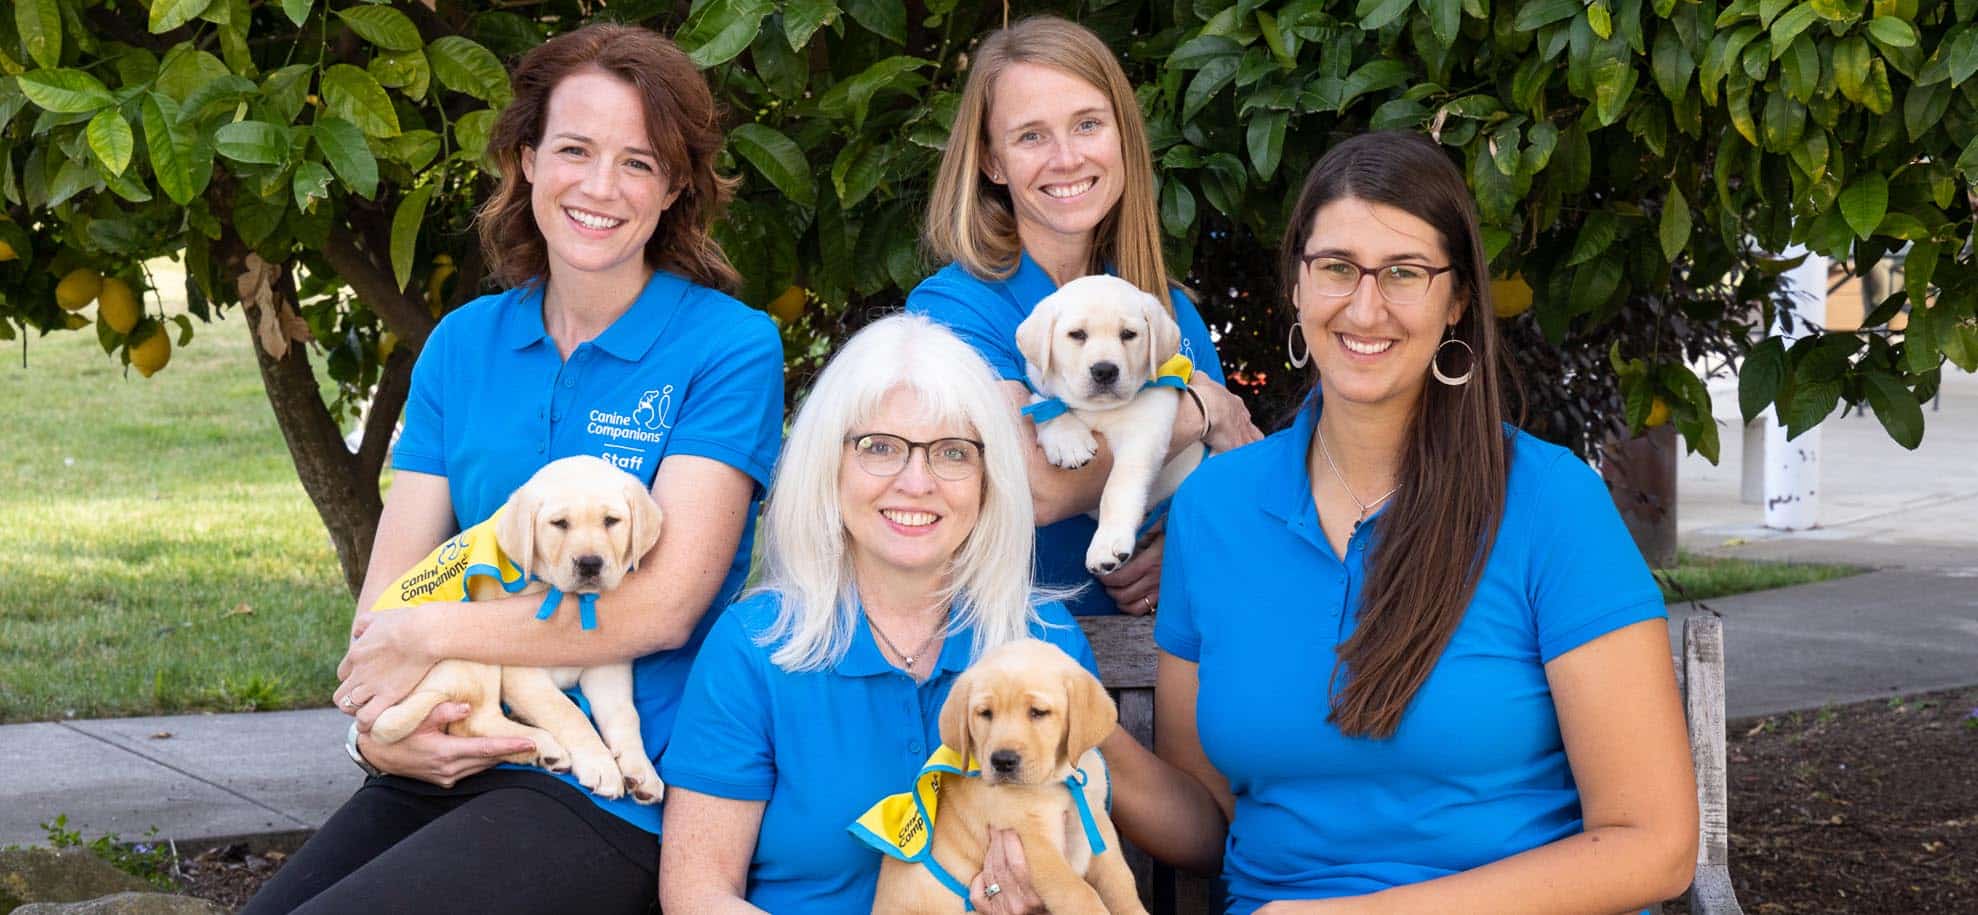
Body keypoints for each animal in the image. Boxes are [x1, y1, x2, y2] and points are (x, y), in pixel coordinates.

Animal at [373, 456, 668, 802]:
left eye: (611, 521)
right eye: (559, 524)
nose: (590, 564)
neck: (561, 595)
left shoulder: (607, 669)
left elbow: (625, 715)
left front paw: (640, 770)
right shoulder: (524, 675)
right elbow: (568, 712)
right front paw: (601, 766)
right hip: (469, 644)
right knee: (474, 723)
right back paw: (543, 744)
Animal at [878, 636, 1155, 915]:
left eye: (1038, 712)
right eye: (985, 713)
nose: (1002, 761)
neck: (1060, 781)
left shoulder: (1098, 822)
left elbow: (1120, 880)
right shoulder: (1032, 841)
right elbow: (1078, 892)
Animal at [1020, 272, 1202, 573]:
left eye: (1128, 334)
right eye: (1077, 335)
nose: (1104, 370)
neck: (1099, 410)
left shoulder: (1145, 431)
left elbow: (1118, 486)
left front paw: (1108, 544)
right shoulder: (1040, 391)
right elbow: (1047, 407)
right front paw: (1069, 441)